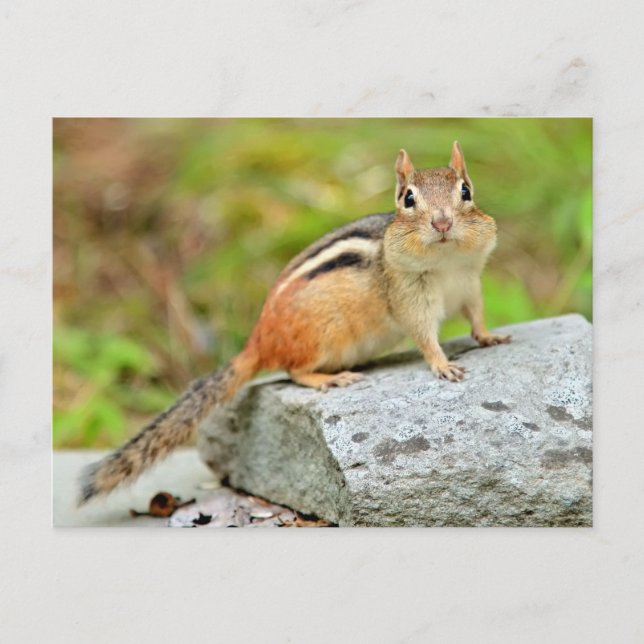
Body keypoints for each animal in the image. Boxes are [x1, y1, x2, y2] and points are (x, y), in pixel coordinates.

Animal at [79, 141, 511, 504]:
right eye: (408, 198)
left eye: (466, 191)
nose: (442, 223)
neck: (446, 263)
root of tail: (257, 340)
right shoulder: (410, 297)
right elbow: (424, 335)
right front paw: (442, 364)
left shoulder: (470, 282)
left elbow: (476, 314)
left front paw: (490, 337)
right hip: (321, 338)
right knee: (293, 371)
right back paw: (328, 379)